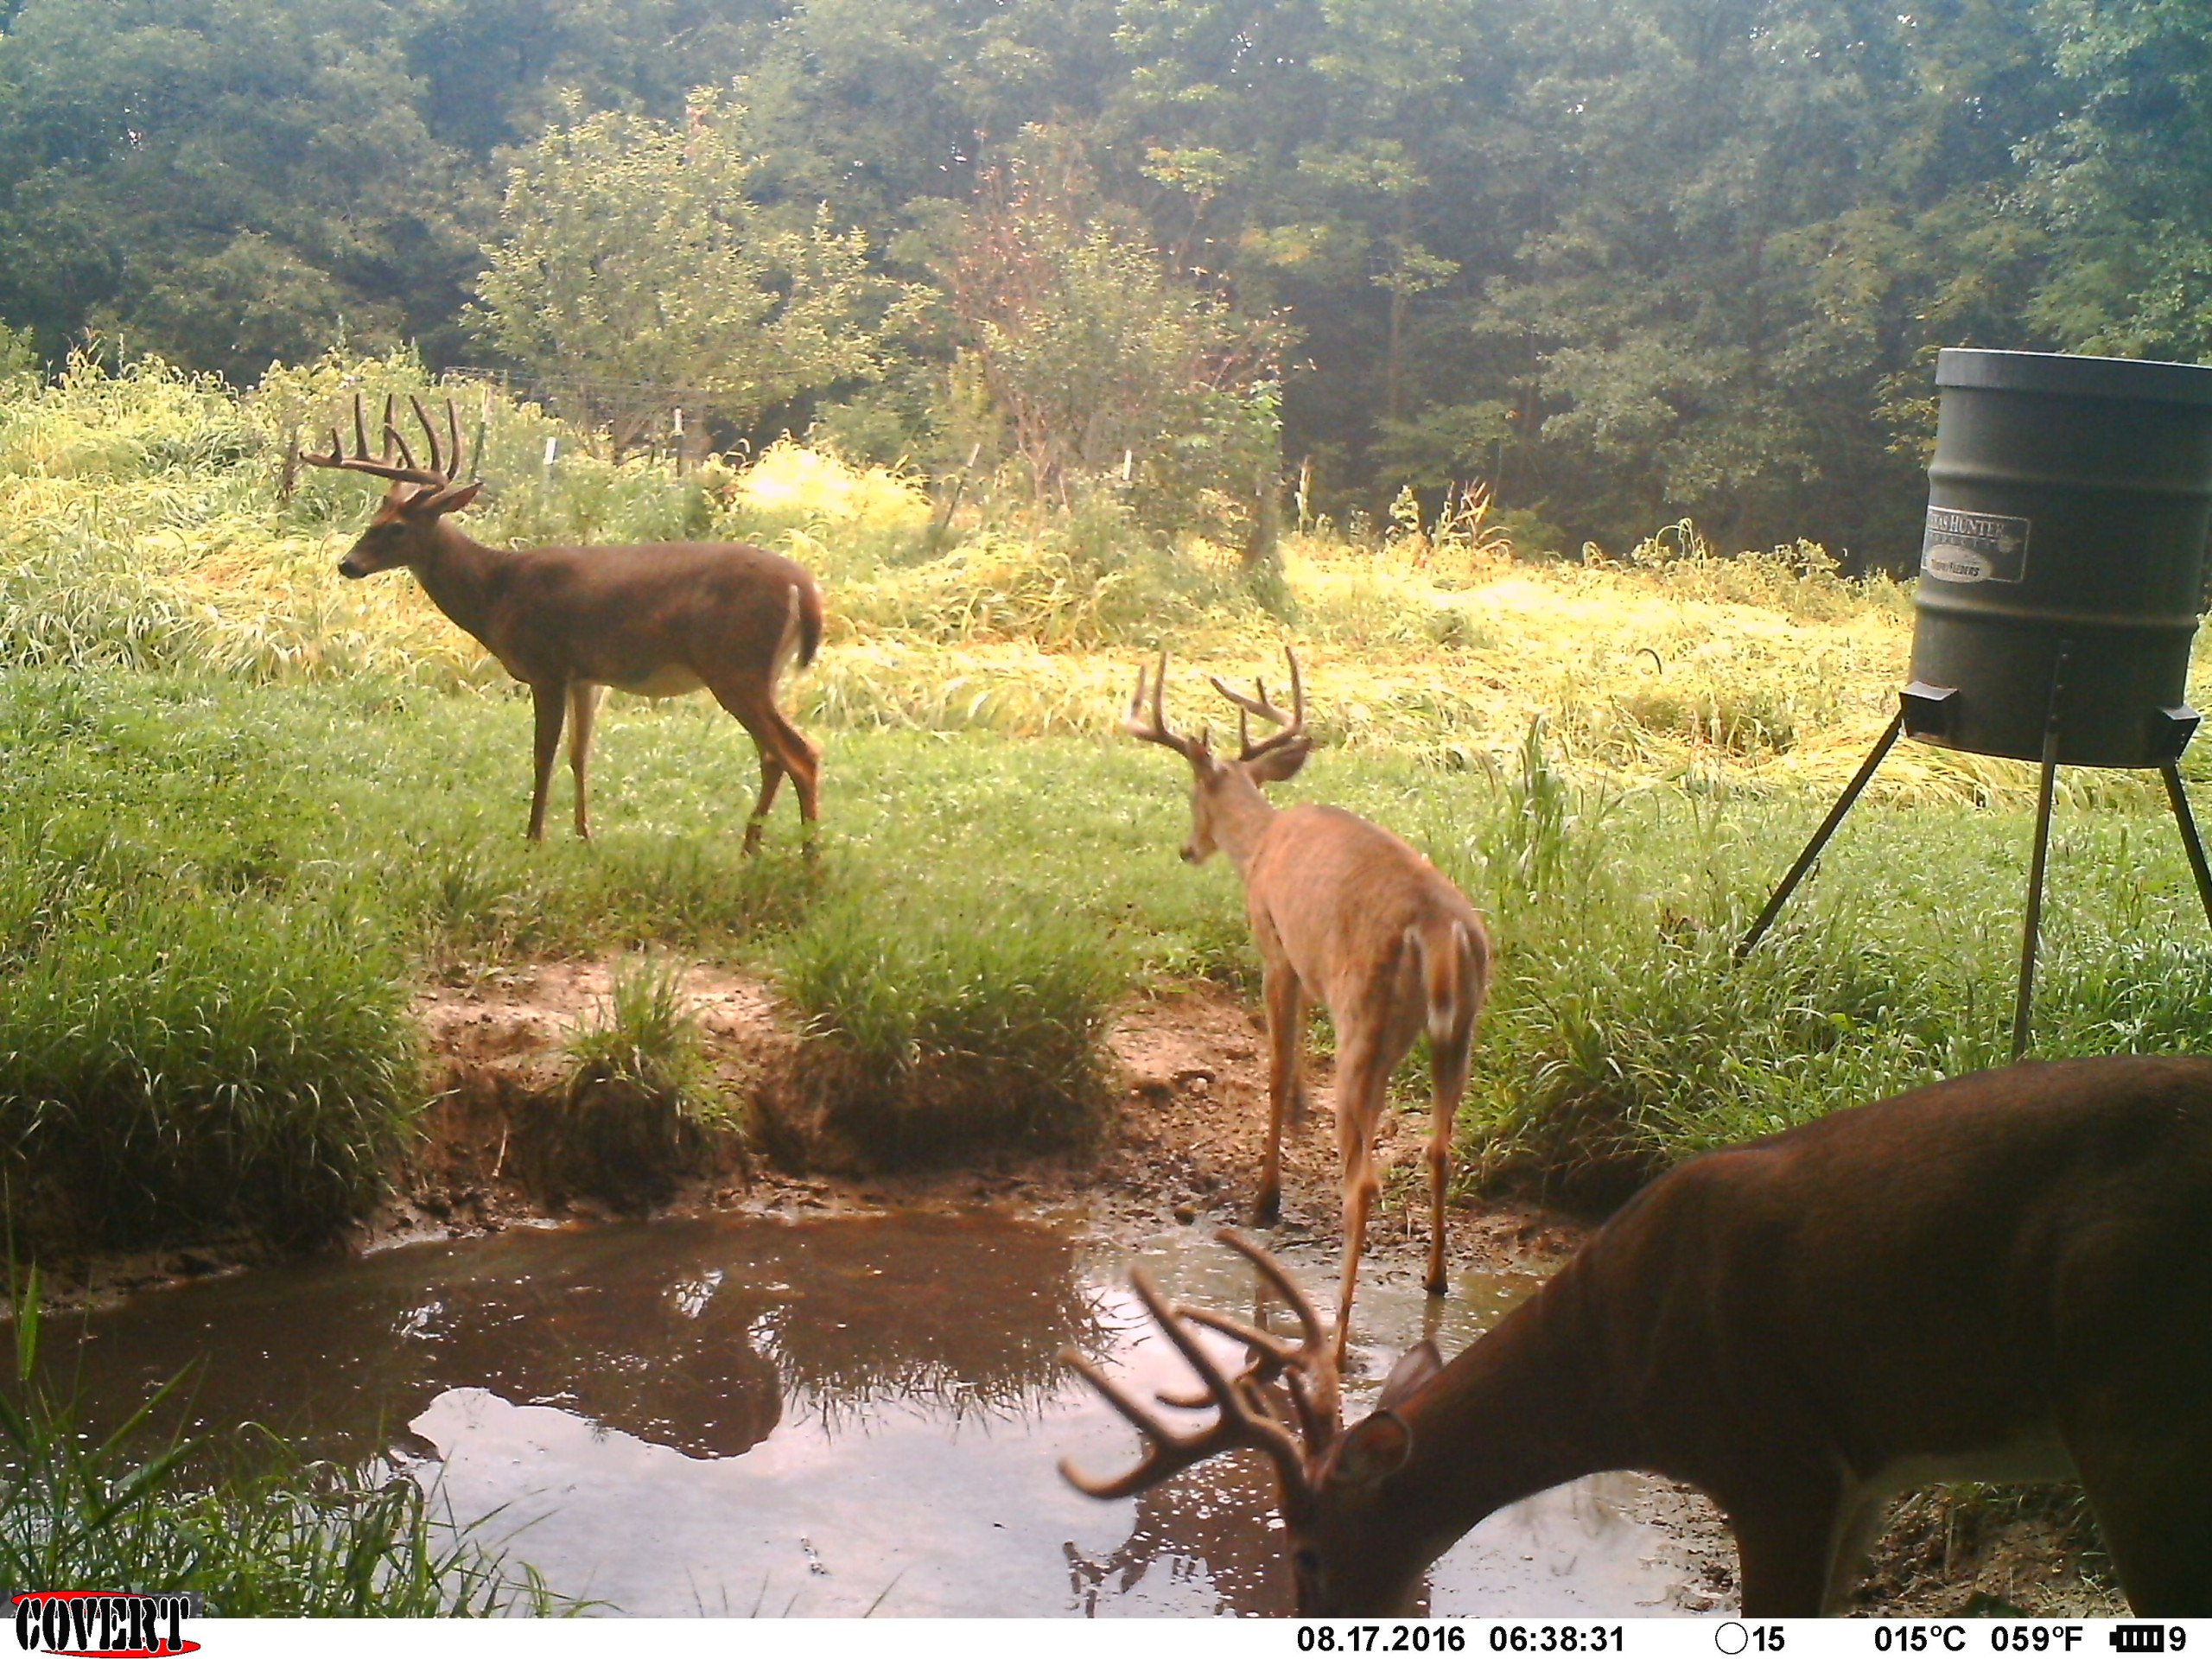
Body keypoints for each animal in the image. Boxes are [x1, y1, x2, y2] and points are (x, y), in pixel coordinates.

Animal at [301, 396, 823, 849]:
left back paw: (807, 857)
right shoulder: (586, 676)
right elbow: (579, 753)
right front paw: (583, 834)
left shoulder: (546, 665)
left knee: (800, 754)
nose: (348, 564)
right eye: (375, 518)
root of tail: (804, 586)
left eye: (396, 528)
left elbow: (543, 754)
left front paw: (534, 836)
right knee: (773, 755)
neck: (496, 590)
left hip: (736, 667)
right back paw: (752, 847)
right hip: (760, 674)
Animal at [1065, 1057, 2212, 1618]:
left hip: (2137, 1402)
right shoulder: (1864, 1478)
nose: (1312, 1622)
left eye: (1305, 1550)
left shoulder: (1776, 1459)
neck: (1621, 1367)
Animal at [1123, 641, 1486, 1353]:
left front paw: (1265, 1199)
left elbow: (1276, 1065)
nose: (1187, 849)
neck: (1261, 844)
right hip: (1458, 1026)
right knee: (1440, 1148)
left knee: (1362, 1181)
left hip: (1367, 1018)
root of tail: (1438, 929)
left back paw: (1339, 1337)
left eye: (1189, 792)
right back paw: (1435, 1281)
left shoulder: (1275, 947)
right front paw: (1295, 1119)